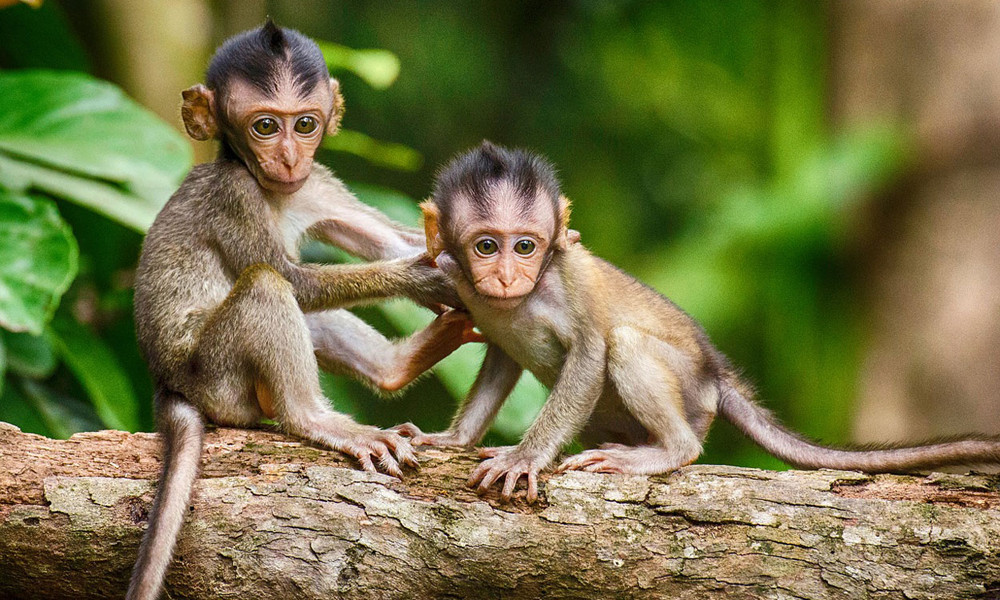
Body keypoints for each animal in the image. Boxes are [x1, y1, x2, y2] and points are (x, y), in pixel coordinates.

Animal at [126, 21, 476, 600]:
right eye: (265, 126)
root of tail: (167, 383)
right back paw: (315, 418)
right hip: (217, 379)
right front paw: (424, 277)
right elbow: (292, 280)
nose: (290, 157)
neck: (274, 191)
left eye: (305, 124)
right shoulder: (234, 194)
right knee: (267, 286)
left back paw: (397, 365)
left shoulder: (318, 183)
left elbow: (390, 241)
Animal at [394, 143, 1000, 504]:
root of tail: (716, 374)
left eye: (525, 246)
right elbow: (500, 358)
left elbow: (590, 352)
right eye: (486, 246)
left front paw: (524, 457)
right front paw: (452, 438)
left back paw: (669, 451)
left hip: (691, 393)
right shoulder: (463, 287)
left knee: (627, 345)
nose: (505, 277)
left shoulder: (566, 281)